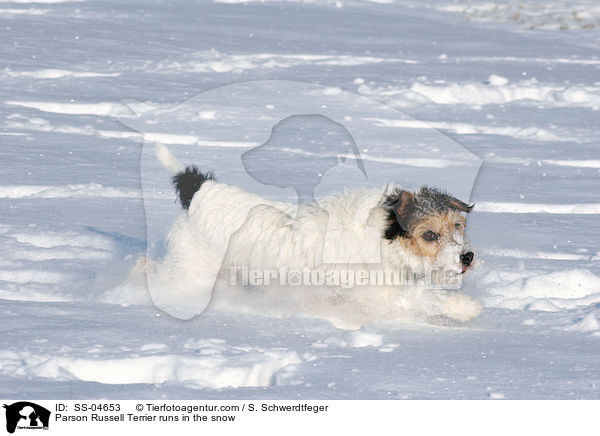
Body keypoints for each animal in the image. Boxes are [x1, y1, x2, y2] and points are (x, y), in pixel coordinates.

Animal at [134, 145, 480, 328]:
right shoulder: (378, 292)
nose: (466, 257)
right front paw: (466, 307)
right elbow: (425, 297)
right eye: (430, 234)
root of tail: (203, 190)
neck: (384, 239)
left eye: (457, 225)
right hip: (193, 272)